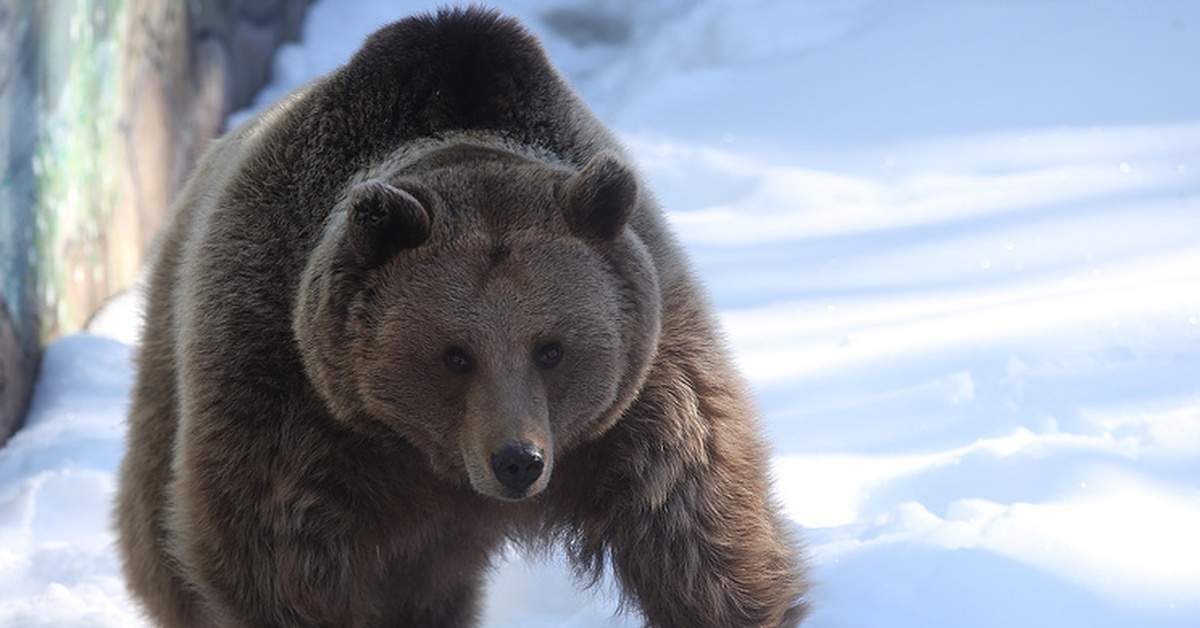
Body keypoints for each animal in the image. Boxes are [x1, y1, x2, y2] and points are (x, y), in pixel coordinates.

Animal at [117, 6, 811, 628]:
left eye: (551, 348)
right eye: (455, 354)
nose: (518, 461)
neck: (436, 464)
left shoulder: (645, 387)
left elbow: (694, 527)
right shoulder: (288, 396)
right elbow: (277, 560)